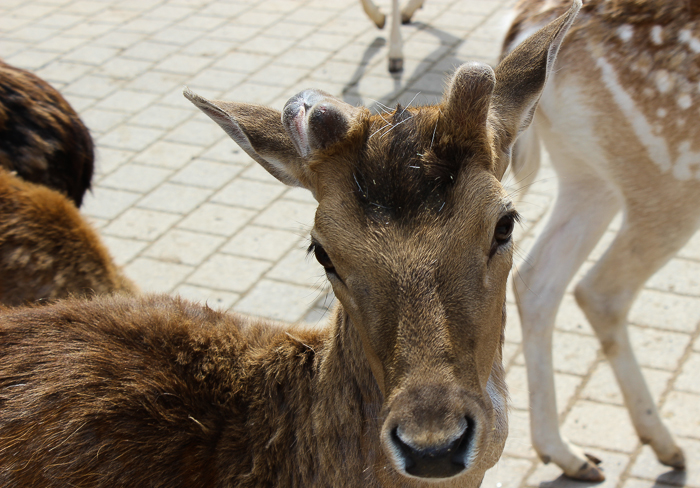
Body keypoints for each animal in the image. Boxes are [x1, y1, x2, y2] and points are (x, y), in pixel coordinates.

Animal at [503, 0, 697, 481]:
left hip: (587, 173)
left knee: (538, 279)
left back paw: (567, 454)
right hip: (671, 176)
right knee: (601, 291)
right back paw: (663, 442)